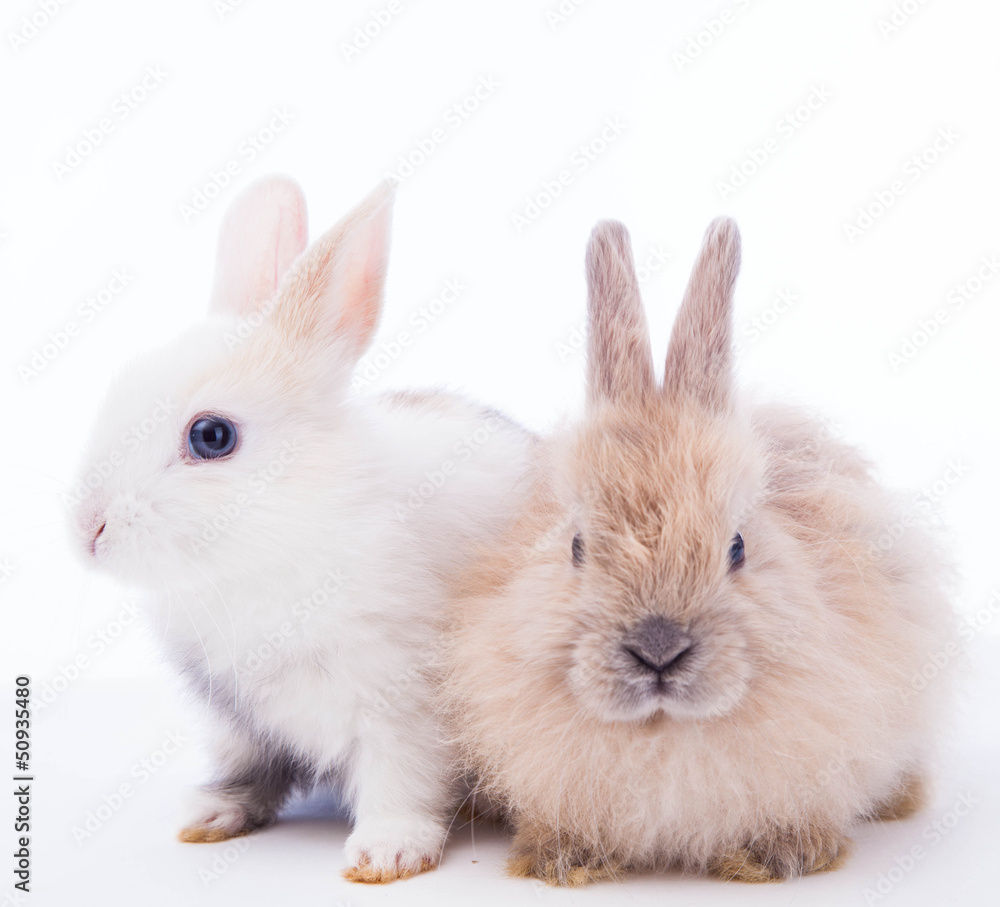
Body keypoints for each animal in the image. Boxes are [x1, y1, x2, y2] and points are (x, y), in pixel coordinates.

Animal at [69, 176, 534, 883]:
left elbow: (403, 781)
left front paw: (387, 854)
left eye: (212, 436)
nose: (86, 529)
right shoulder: (236, 719)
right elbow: (248, 771)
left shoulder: (402, 704)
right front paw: (209, 817)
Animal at [443, 217, 956, 886]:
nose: (658, 648)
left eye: (736, 547)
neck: (666, 735)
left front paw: (785, 855)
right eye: (577, 546)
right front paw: (561, 858)